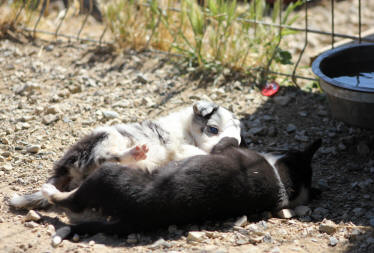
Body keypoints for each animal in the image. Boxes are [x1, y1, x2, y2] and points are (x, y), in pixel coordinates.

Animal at [10, 101, 243, 210]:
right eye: (213, 129)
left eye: (238, 140)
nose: (227, 145)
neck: (187, 129)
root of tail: (63, 166)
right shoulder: (179, 145)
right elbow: (194, 151)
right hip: (105, 138)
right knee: (105, 158)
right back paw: (134, 152)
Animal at [41, 136, 322, 241]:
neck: (284, 183)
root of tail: (132, 220)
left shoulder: (227, 149)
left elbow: (227, 140)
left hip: (108, 175)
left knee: (72, 201)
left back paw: (52, 193)